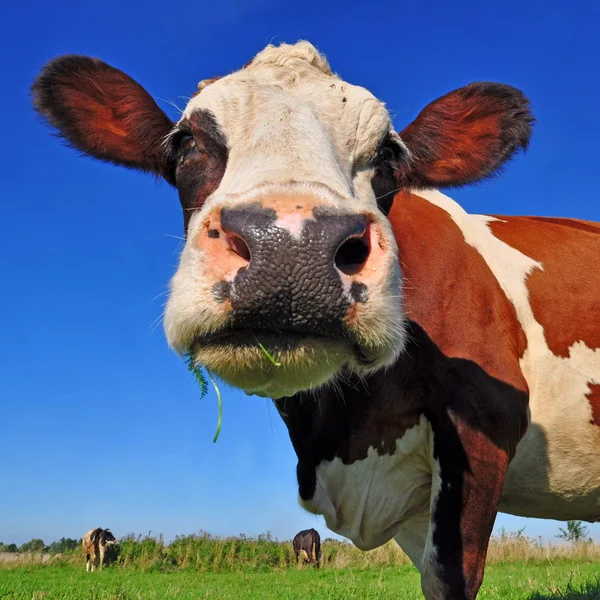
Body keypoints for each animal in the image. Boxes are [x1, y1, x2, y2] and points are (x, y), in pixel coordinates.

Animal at [31, 39, 600, 596]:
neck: (342, 437)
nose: (291, 246)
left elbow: (449, 577)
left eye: (388, 152)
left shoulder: (481, 426)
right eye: (185, 141)